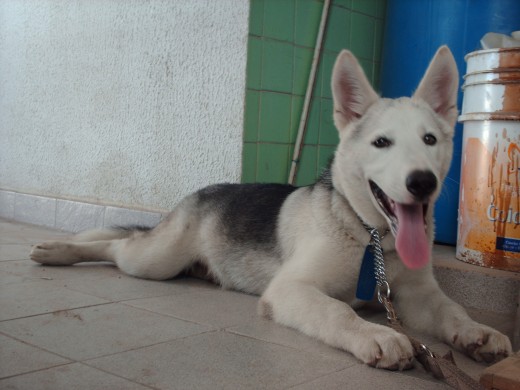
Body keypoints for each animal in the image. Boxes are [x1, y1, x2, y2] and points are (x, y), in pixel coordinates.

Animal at [29, 45, 512, 368]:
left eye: (429, 140)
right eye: (381, 143)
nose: (422, 182)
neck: (371, 239)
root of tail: (201, 193)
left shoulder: (418, 296)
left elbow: (452, 310)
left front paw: (479, 333)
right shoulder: (290, 290)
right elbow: (337, 310)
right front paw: (375, 334)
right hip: (155, 260)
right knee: (116, 246)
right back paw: (59, 251)